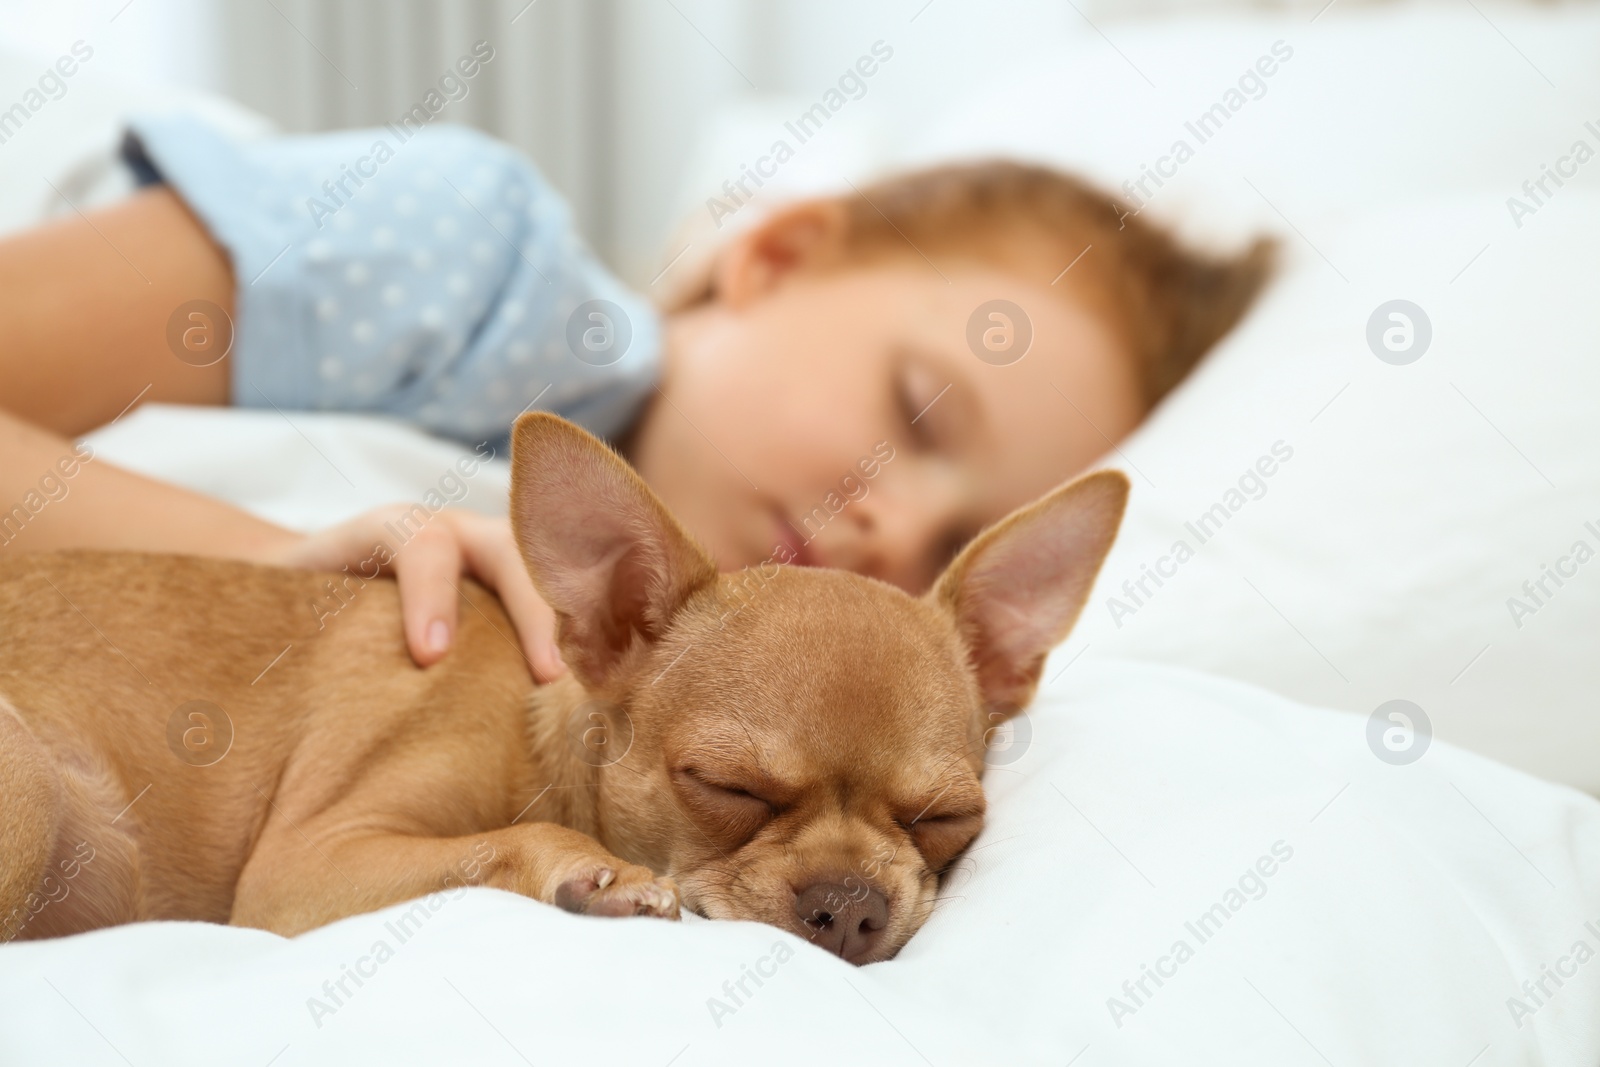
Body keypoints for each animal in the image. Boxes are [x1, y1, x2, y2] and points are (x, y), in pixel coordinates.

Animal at [0, 415, 1126, 966]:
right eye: (727, 787)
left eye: (945, 816)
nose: (849, 904)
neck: (543, 741)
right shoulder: (304, 870)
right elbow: (512, 840)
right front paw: (597, 872)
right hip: (42, 794)